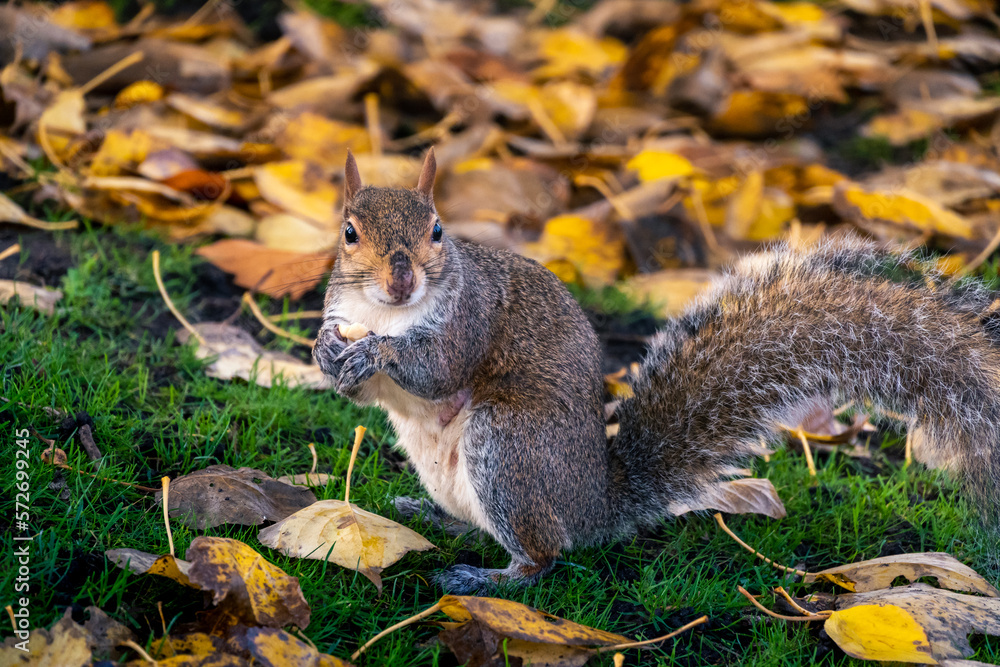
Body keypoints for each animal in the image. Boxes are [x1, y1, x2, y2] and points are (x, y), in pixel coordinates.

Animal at [314, 148, 1000, 594]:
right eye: (348, 233)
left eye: (436, 230)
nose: (401, 278)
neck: (386, 312)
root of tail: (597, 505)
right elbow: (358, 390)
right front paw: (326, 352)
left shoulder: (471, 318)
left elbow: (436, 369)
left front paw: (377, 353)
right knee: (474, 521)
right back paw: (430, 516)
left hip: (507, 446)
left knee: (545, 554)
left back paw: (485, 578)